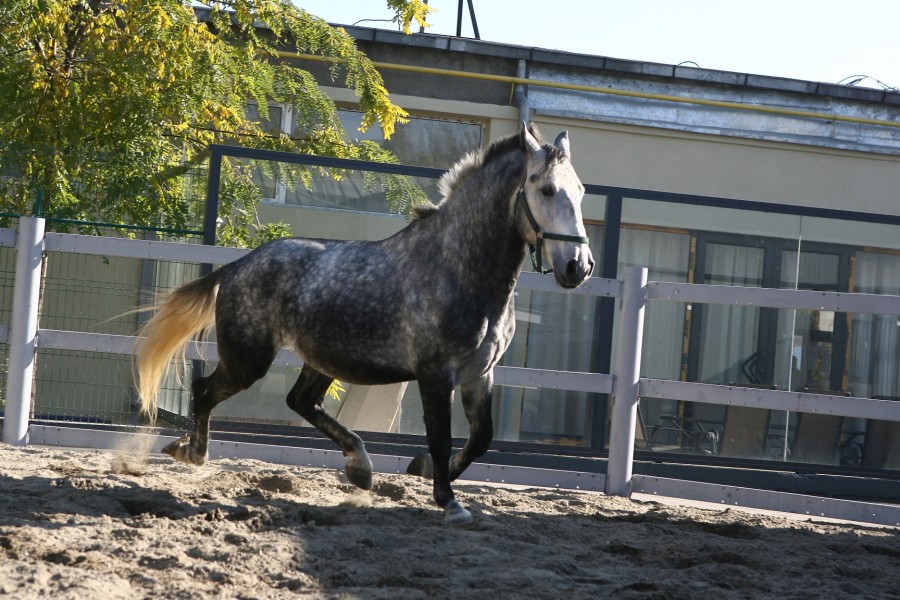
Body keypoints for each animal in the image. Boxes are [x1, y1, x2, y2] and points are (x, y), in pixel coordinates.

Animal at [135, 122, 592, 520]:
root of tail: (237, 266)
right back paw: (191, 452)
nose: (579, 266)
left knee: (300, 401)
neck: (457, 268)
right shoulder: (435, 374)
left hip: (320, 359)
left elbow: (480, 439)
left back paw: (360, 467)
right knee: (205, 390)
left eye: (582, 191)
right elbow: (442, 438)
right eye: (547, 189)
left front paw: (424, 470)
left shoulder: (480, 373)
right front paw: (449, 502)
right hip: (248, 360)